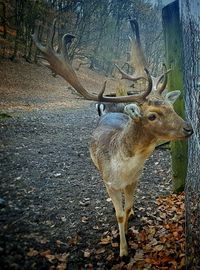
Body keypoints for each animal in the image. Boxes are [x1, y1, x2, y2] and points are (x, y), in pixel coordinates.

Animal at [32, 19, 193, 258]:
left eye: (171, 107)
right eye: (152, 115)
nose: (189, 128)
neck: (123, 170)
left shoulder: (135, 180)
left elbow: (127, 208)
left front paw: (128, 227)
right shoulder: (109, 183)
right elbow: (118, 214)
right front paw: (123, 250)